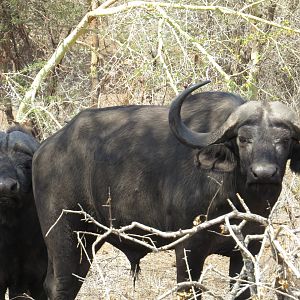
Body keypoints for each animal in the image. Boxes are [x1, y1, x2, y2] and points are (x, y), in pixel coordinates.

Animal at [31, 81, 300, 298]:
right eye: (243, 139)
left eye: (285, 140)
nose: (264, 173)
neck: (233, 191)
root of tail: (46, 147)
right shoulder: (189, 249)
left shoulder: (247, 250)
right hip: (68, 237)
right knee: (61, 285)